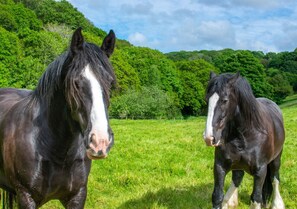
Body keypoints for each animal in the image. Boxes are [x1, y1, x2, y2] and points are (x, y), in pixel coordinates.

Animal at [204, 72, 284, 209]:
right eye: (206, 100)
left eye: (225, 100)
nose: (209, 137)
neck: (244, 135)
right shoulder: (220, 166)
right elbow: (217, 196)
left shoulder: (260, 171)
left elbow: (256, 198)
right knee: (237, 178)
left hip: (276, 159)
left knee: (275, 178)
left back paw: (277, 203)